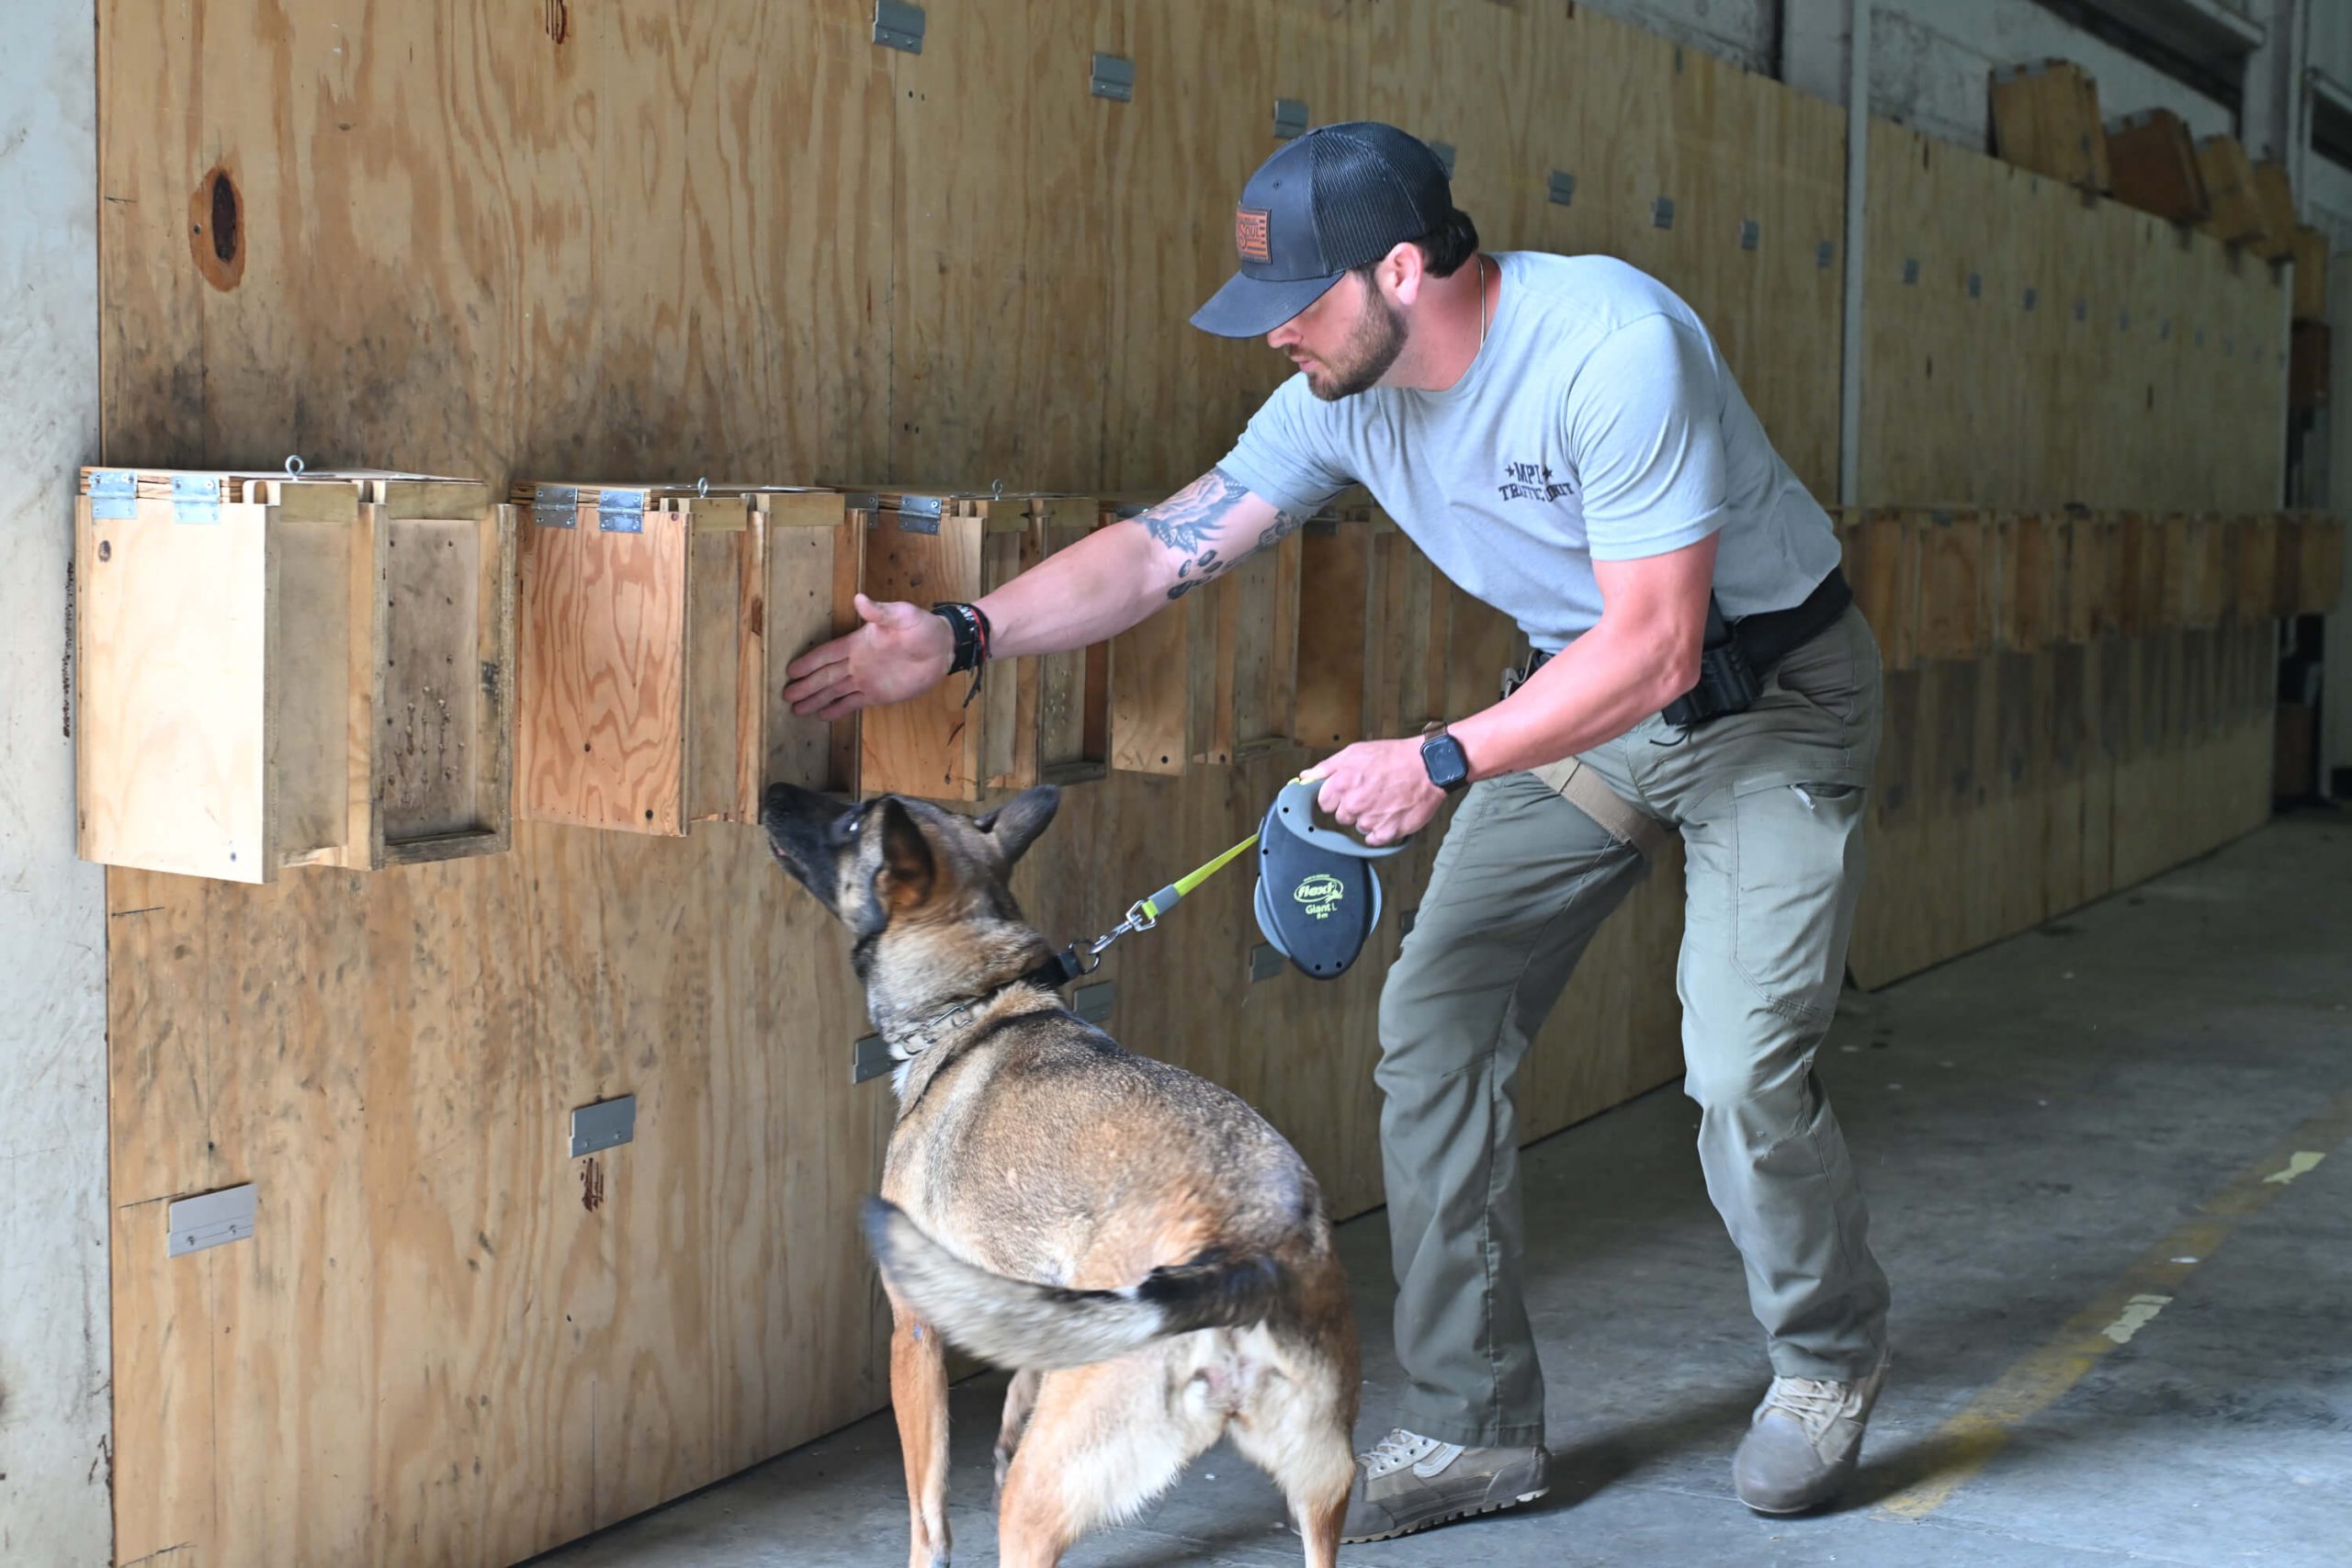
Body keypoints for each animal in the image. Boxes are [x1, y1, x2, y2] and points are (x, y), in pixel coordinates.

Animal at [762, 784, 1363, 1568]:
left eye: (855, 818)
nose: (772, 793)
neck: (975, 1002)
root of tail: (1246, 1262)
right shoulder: (1045, 1300)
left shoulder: (913, 1333)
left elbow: (927, 1510)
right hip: (1323, 1496)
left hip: (1034, 1502)